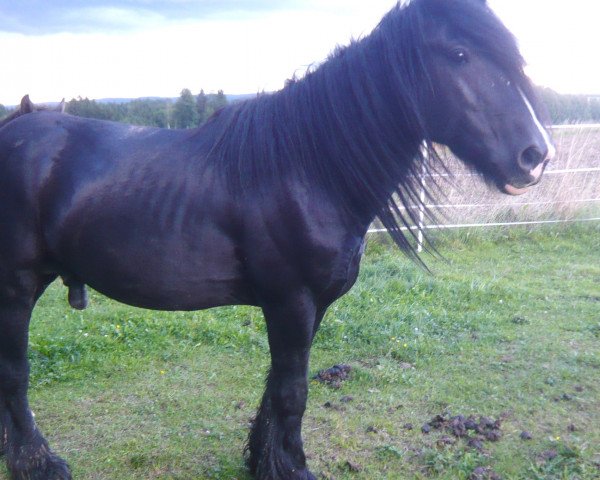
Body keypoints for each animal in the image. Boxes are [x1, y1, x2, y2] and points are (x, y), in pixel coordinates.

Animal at [0, 0, 552, 480]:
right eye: (458, 54)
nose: (535, 156)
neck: (308, 167)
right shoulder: (291, 300)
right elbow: (292, 393)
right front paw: (293, 468)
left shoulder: (313, 304)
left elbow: (277, 387)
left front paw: (262, 461)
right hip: (18, 285)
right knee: (15, 374)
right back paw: (38, 463)